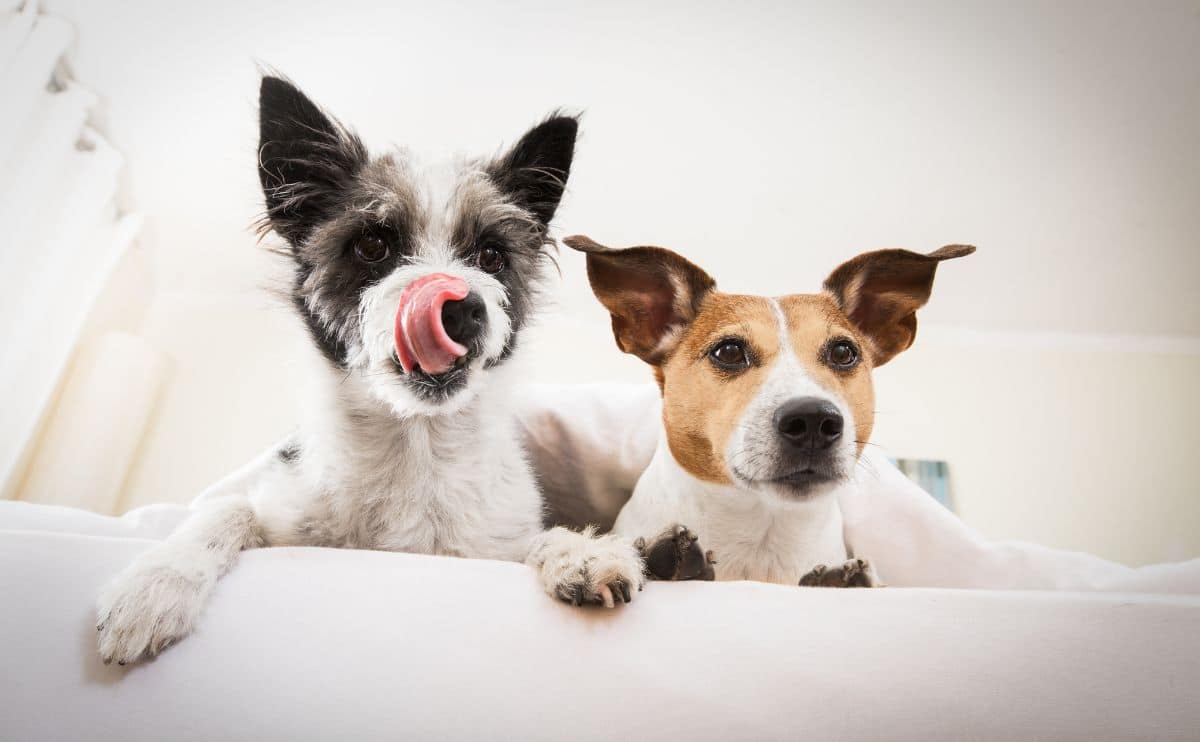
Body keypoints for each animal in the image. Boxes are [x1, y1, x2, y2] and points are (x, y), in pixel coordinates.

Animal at [96, 76, 648, 662]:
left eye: (492, 256)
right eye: (371, 245)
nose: (460, 308)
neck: (414, 446)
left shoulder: (491, 545)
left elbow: (534, 540)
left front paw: (581, 554)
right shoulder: (282, 511)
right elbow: (227, 510)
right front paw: (155, 584)